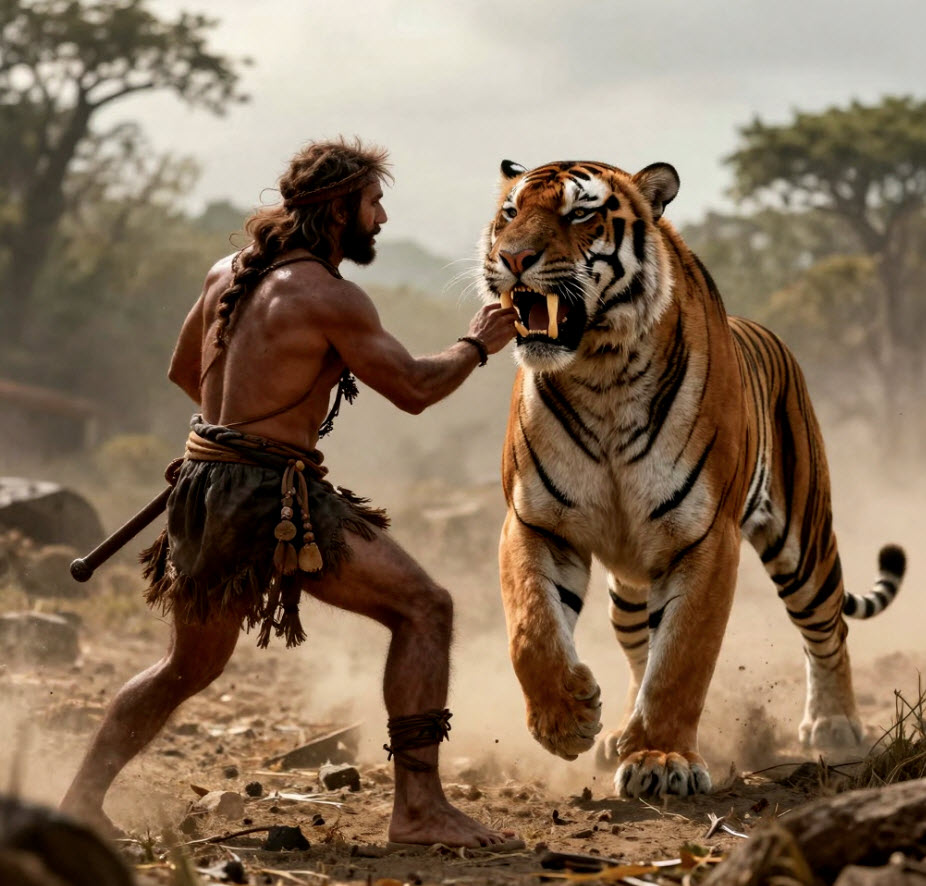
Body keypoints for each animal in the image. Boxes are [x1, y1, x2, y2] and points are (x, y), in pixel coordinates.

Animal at [479, 158, 907, 798]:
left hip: (803, 543)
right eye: (509, 213)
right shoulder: (536, 523)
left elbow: (682, 659)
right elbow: (532, 627)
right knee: (637, 645)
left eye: (579, 213)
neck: (600, 370)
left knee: (829, 631)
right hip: (631, 584)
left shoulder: (704, 537)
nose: (512, 258)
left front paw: (661, 760)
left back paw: (835, 727)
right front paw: (566, 719)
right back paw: (616, 732)